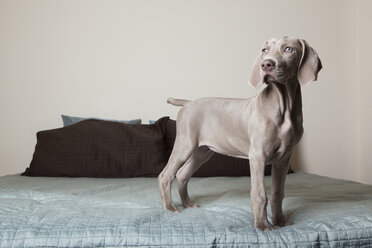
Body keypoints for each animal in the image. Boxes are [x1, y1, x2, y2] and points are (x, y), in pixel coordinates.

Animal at [158, 36, 322, 231]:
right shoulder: (258, 156)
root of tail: (188, 103)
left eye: (289, 49)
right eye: (264, 50)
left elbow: (278, 192)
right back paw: (170, 207)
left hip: (202, 151)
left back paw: (188, 203)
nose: (266, 64)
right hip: (185, 143)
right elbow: (260, 194)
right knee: (166, 175)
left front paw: (280, 220)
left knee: (182, 174)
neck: (283, 106)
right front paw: (262, 225)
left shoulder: (283, 159)